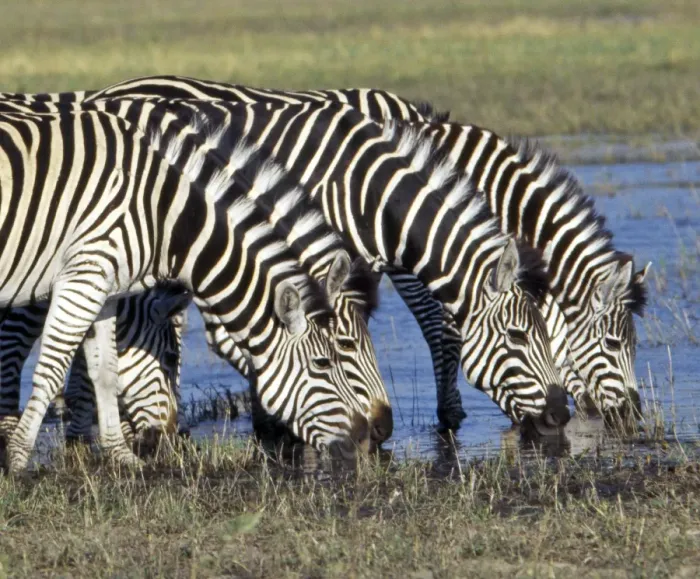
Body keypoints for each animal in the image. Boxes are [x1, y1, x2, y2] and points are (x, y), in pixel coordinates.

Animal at [0, 104, 372, 471]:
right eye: (323, 363)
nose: (363, 439)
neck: (160, 215)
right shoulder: (83, 275)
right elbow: (51, 370)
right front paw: (17, 458)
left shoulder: (104, 290)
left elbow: (105, 371)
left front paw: (121, 456)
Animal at [54, 74, 649, 420]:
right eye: (615, 344)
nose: (634, 414)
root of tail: (107, 93)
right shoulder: (389, 258)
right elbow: (437, 329)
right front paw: (447, 414)